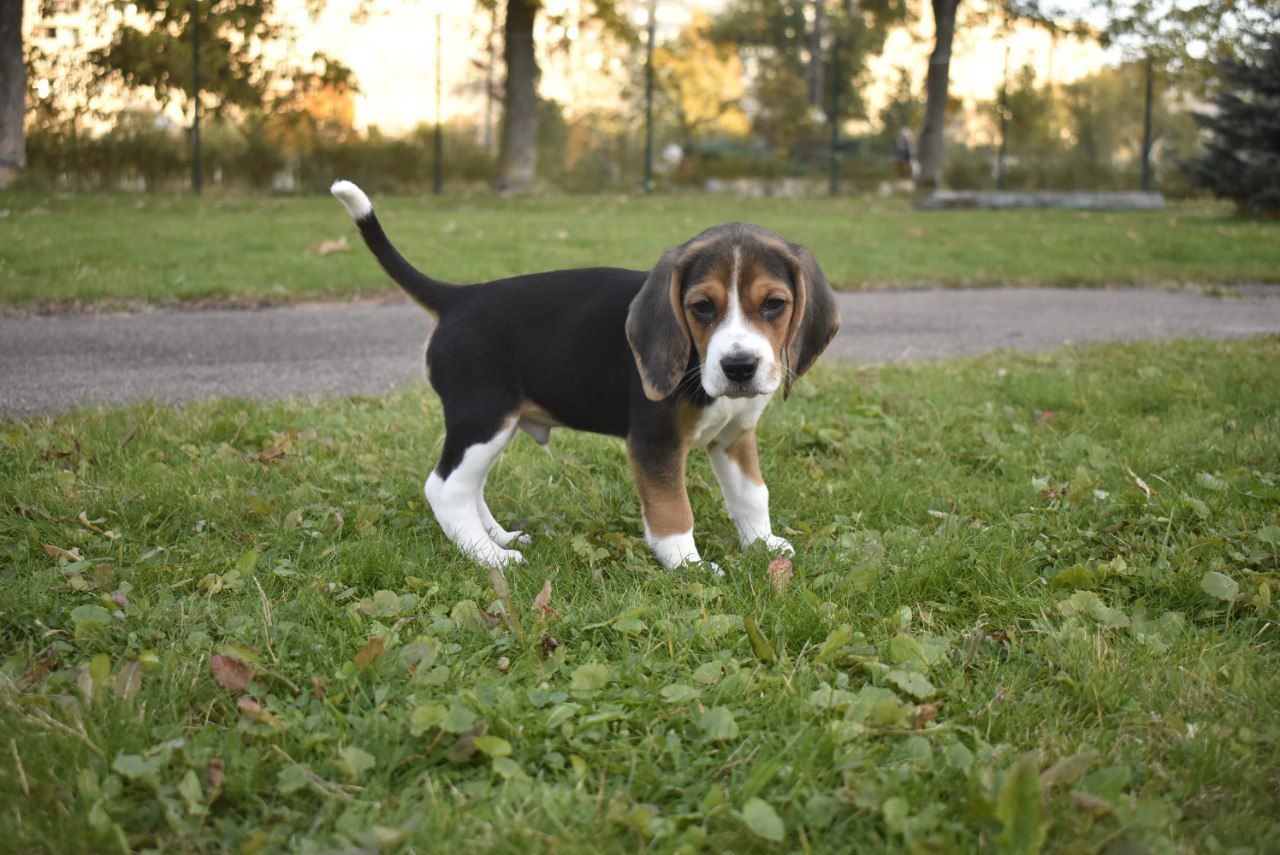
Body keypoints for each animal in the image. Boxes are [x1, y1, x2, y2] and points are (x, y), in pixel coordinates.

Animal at [330, 179, 839, 568]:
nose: (739, 367)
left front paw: (763, 545)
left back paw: (499, 538)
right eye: (701, 308)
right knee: (445, 488)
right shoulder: (654, 441)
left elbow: (752, 494)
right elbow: (673, 509)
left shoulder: (734, 437)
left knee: (470, 486)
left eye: (774, 305)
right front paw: (687, 565)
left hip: (496, 426)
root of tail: (458, 297)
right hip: (482, 418)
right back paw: (490, 558)